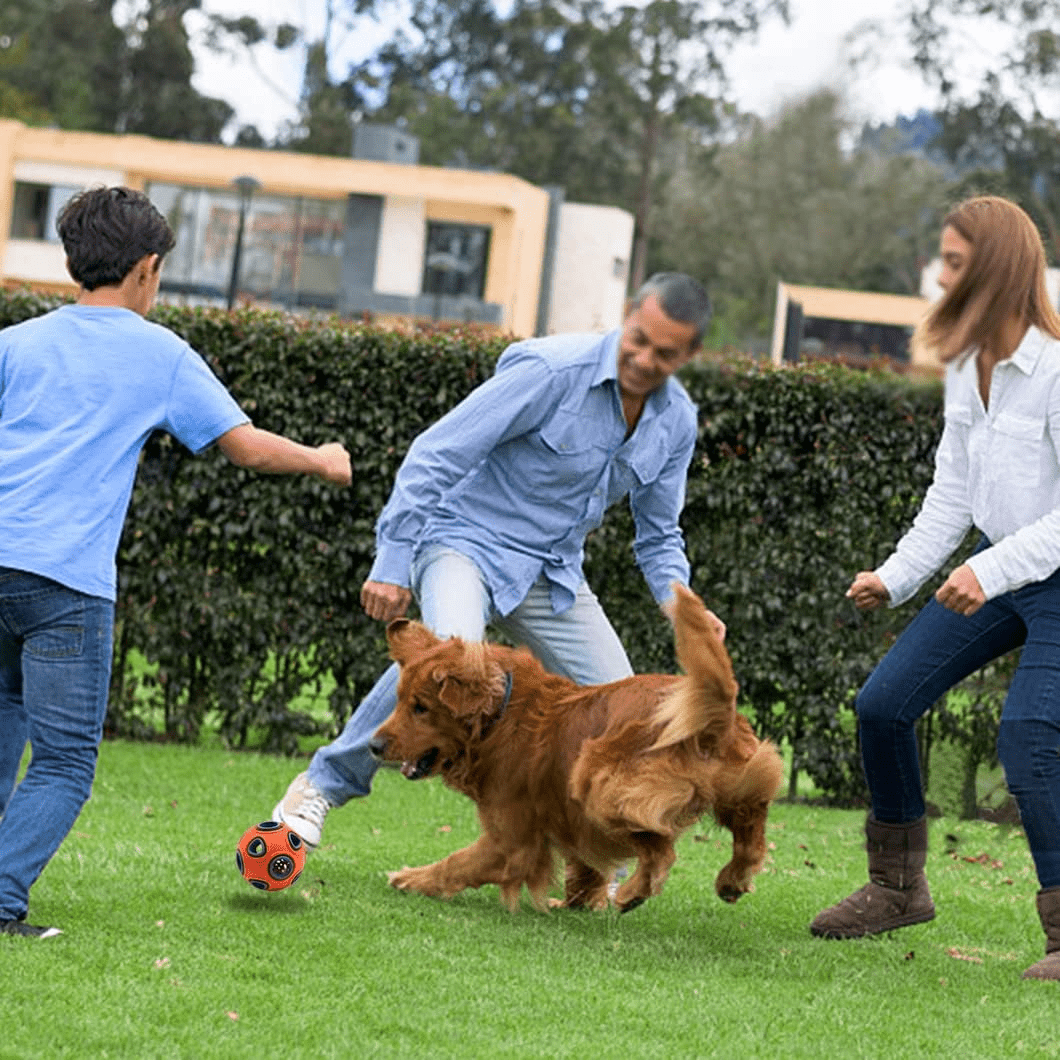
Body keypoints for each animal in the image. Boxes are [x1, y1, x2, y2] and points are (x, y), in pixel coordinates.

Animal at [368, 580, 784, 911]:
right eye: (399, 701)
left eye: (421, 708)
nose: (373, 745)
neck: (499, 716)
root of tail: (709, 718)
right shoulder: (568, 821)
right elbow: (585, 863)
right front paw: (579, 901)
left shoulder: (512, 841)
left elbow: (456, 862)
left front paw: (411, 878)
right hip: (738, 784)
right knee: (751, 836)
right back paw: (731, 879)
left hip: (598, 780)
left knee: (661, 849)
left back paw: (633, 892)